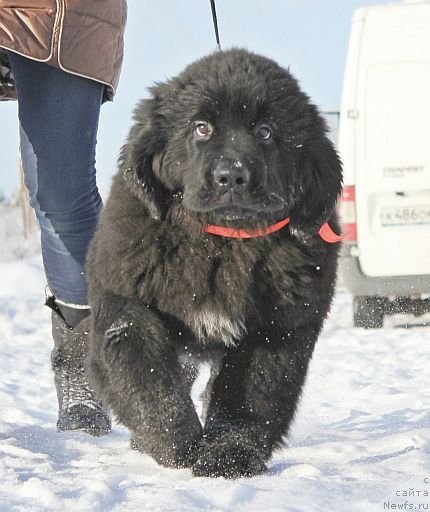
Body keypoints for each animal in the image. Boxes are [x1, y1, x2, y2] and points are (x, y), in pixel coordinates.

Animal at [86, 50, 342, 478]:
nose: (231, 176)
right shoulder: (126, 299)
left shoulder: (276, 327)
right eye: (201, 128)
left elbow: (251, 393)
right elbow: (147, 376)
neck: (224, 243)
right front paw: (178, 444)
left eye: (266, 131)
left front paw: (227, 455)